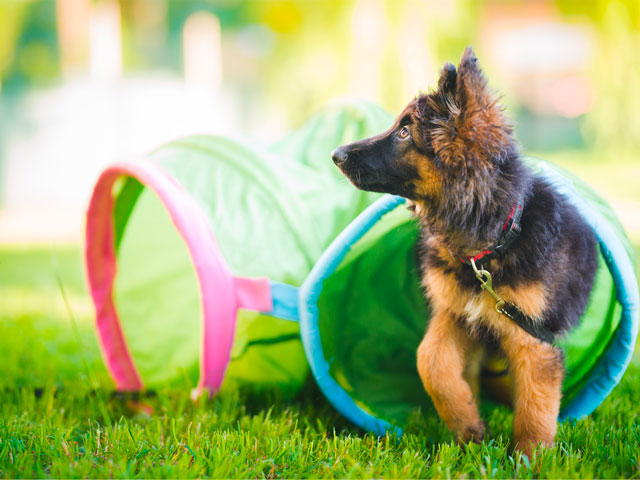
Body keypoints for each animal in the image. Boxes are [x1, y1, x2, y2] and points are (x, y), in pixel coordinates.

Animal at [332, 48, 596, 458]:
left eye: (405, 133)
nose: (336, 154)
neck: (487, 246)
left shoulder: (533, 337)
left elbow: (535, 404)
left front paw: (530, 458)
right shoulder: (455, 312)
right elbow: (430, 361)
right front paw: (468, 427)